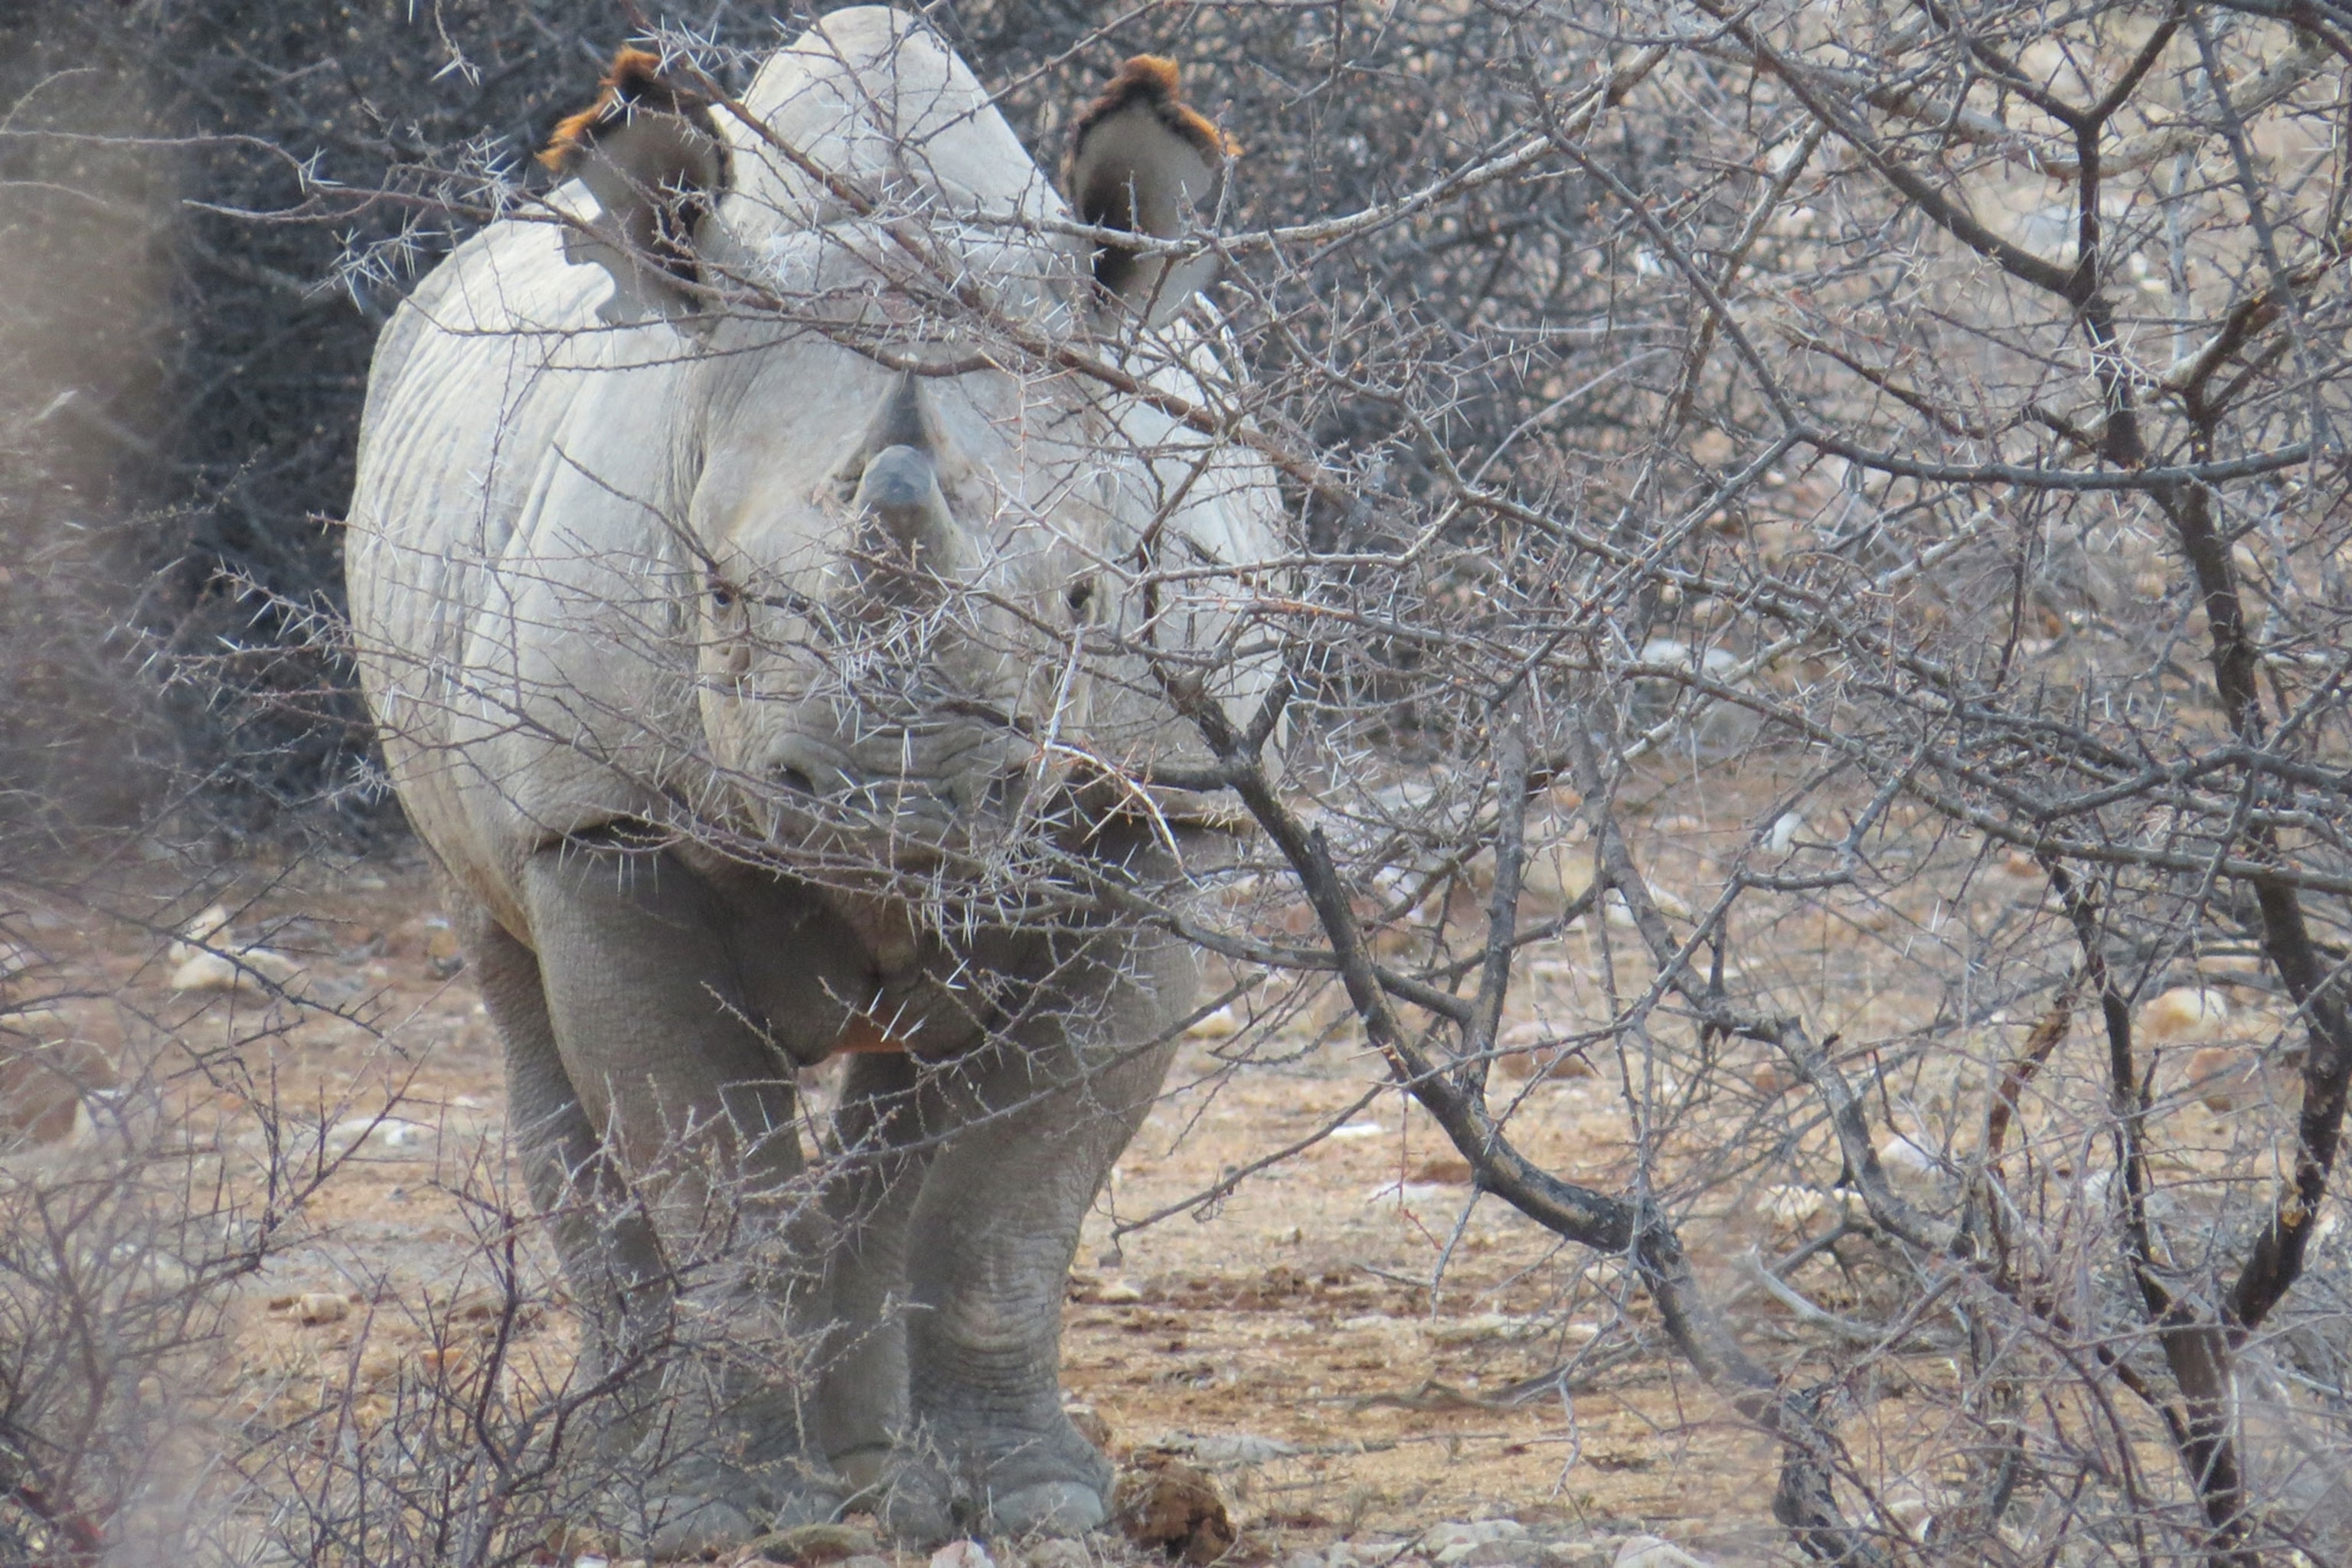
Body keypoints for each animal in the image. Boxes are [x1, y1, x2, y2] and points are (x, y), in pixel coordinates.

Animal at [344, 9, 1280, 1553]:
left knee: (912, 1120)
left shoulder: (1151, 821)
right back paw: (624, 1477)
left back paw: (876, 1476)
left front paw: (1035, 1502)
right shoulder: (605, 820)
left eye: (1087, 600)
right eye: (718, 594)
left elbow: (1019, 1189)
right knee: (520, 1003)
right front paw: (704, 1514)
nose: (891, 806)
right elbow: (711, 1173)